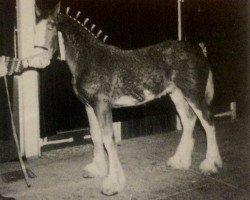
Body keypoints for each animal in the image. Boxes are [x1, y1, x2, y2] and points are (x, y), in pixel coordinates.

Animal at [33, 1, 223, 195]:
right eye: (34, 29)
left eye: (51, 26)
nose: (38, 61)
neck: (89, 60)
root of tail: (199, 50)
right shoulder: (89, 106)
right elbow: (95, 135)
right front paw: (97, 169)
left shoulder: (102, 106)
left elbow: (108, 139)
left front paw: (113, 184)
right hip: (176, 94)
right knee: (188, 120)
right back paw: (180, 161)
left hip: (194, 94)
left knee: (207, 122)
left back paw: (210, 165)